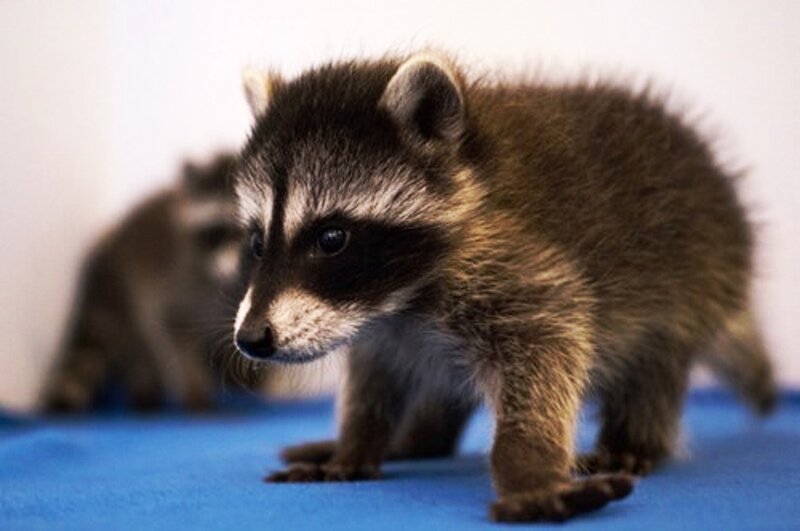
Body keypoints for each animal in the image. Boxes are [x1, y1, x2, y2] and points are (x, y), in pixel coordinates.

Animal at [43, 153, 262, 412]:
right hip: (122, 301)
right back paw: (144, 384)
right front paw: (196, 390)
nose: (234, 265)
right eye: (217, 231)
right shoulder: (176, 285)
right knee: (137, 346)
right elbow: (174, 339)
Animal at [231, 54, 776, 522]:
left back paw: (635, 441)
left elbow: (548, 347)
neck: (398, 300)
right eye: (257, 242)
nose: (251, 339)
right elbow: (375, 377)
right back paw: (416, 440)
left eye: (331, 238)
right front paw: (357, 443)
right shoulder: (378, 324)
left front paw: (528, 465)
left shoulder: (512, 264)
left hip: (697, 274)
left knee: (656, 367)